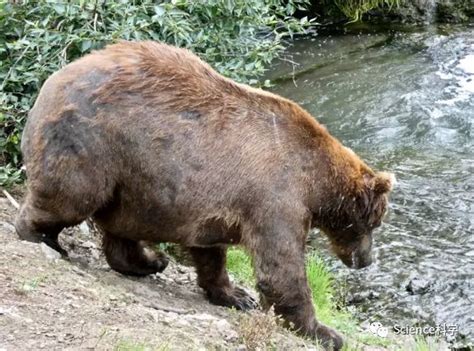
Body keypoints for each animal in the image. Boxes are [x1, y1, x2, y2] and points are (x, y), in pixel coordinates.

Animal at [14, 40, 392, 350]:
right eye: (372, 223)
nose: (366, 260)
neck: (315, 180)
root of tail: (51, 82)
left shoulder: (209, 201)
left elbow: (210, 251)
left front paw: (235, 294)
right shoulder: (276, 195)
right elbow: (281, 266)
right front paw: (325, 332)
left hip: (135, 179)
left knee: (121, 225)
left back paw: (150, 261)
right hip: (92, 144)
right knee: (70, 197)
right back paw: (41, 236)